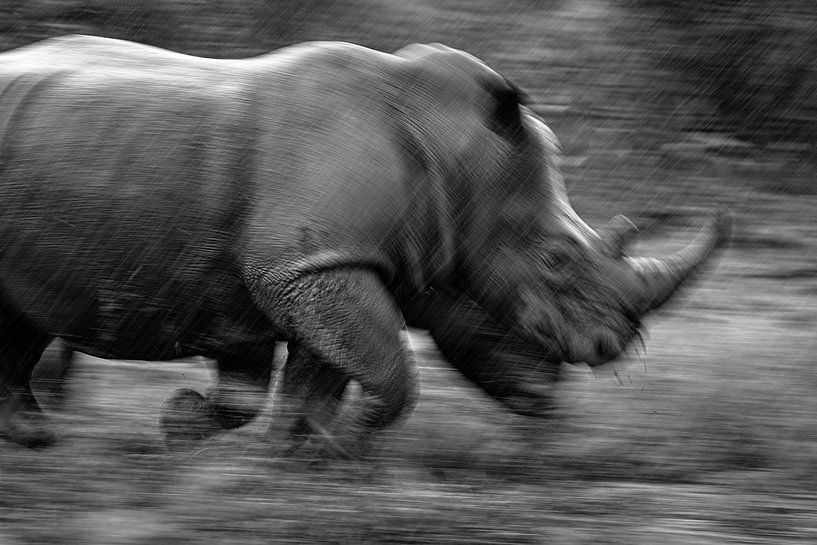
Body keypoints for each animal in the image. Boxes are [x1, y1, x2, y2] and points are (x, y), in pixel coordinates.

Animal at [0, 36, 728, 455]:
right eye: (556, 263)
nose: (616, 346)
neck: (462, 167)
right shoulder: (309, 267)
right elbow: (386, 372)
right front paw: (332, 447)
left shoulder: (322, 267)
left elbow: (303, 378)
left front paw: (296, 454)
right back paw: (38, 439)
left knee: (20, 319)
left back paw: (33, 438)